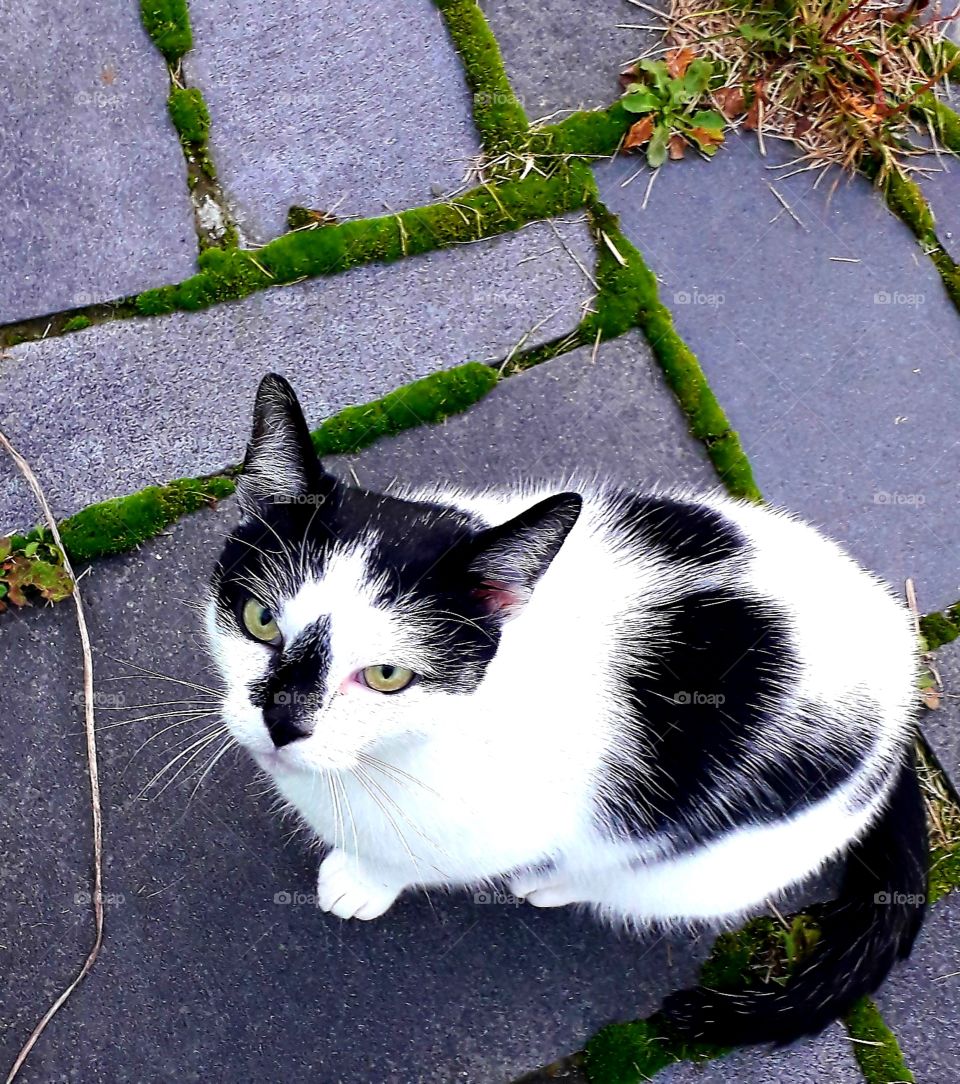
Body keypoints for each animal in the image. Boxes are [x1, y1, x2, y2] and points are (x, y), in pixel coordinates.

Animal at [204, 372, 931, 1040]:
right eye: (260, 619)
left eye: (386, 675)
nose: (281, 721)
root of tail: (905, 703)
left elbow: (408, 860)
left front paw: (362, 880)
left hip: (712, 862)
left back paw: (553, 884)